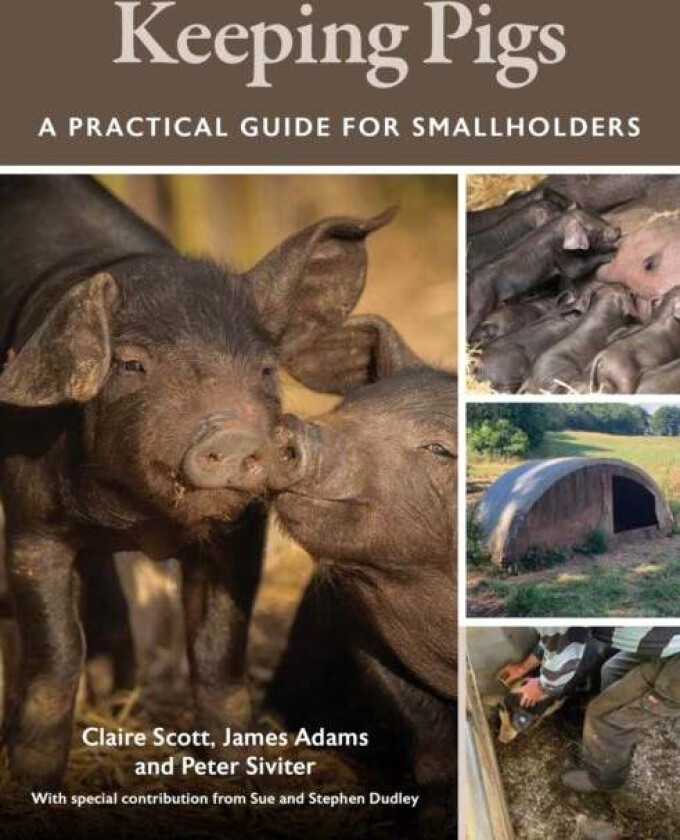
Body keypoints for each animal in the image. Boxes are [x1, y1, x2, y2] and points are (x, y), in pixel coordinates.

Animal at [0, 175, 394, 787]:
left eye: (265, 369)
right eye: (131, 364)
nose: (233, 435)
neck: (137, 519)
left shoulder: (240, 534)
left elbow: (218, 649)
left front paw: (237, 771)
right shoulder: (30, 526)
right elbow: (56, 651)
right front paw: (33, 781)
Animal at [266, 315, 456, 834]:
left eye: (439, 449)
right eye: (346, 407)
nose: (292, 427)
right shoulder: (361, 634)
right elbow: (428, 737)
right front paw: (433, 819)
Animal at [466, 208, 621, 337]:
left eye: (598, 216)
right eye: (594, 230)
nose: (618, 229)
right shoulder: (561, 257)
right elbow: (575, 270)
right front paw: (612, 253)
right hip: (480, 303)